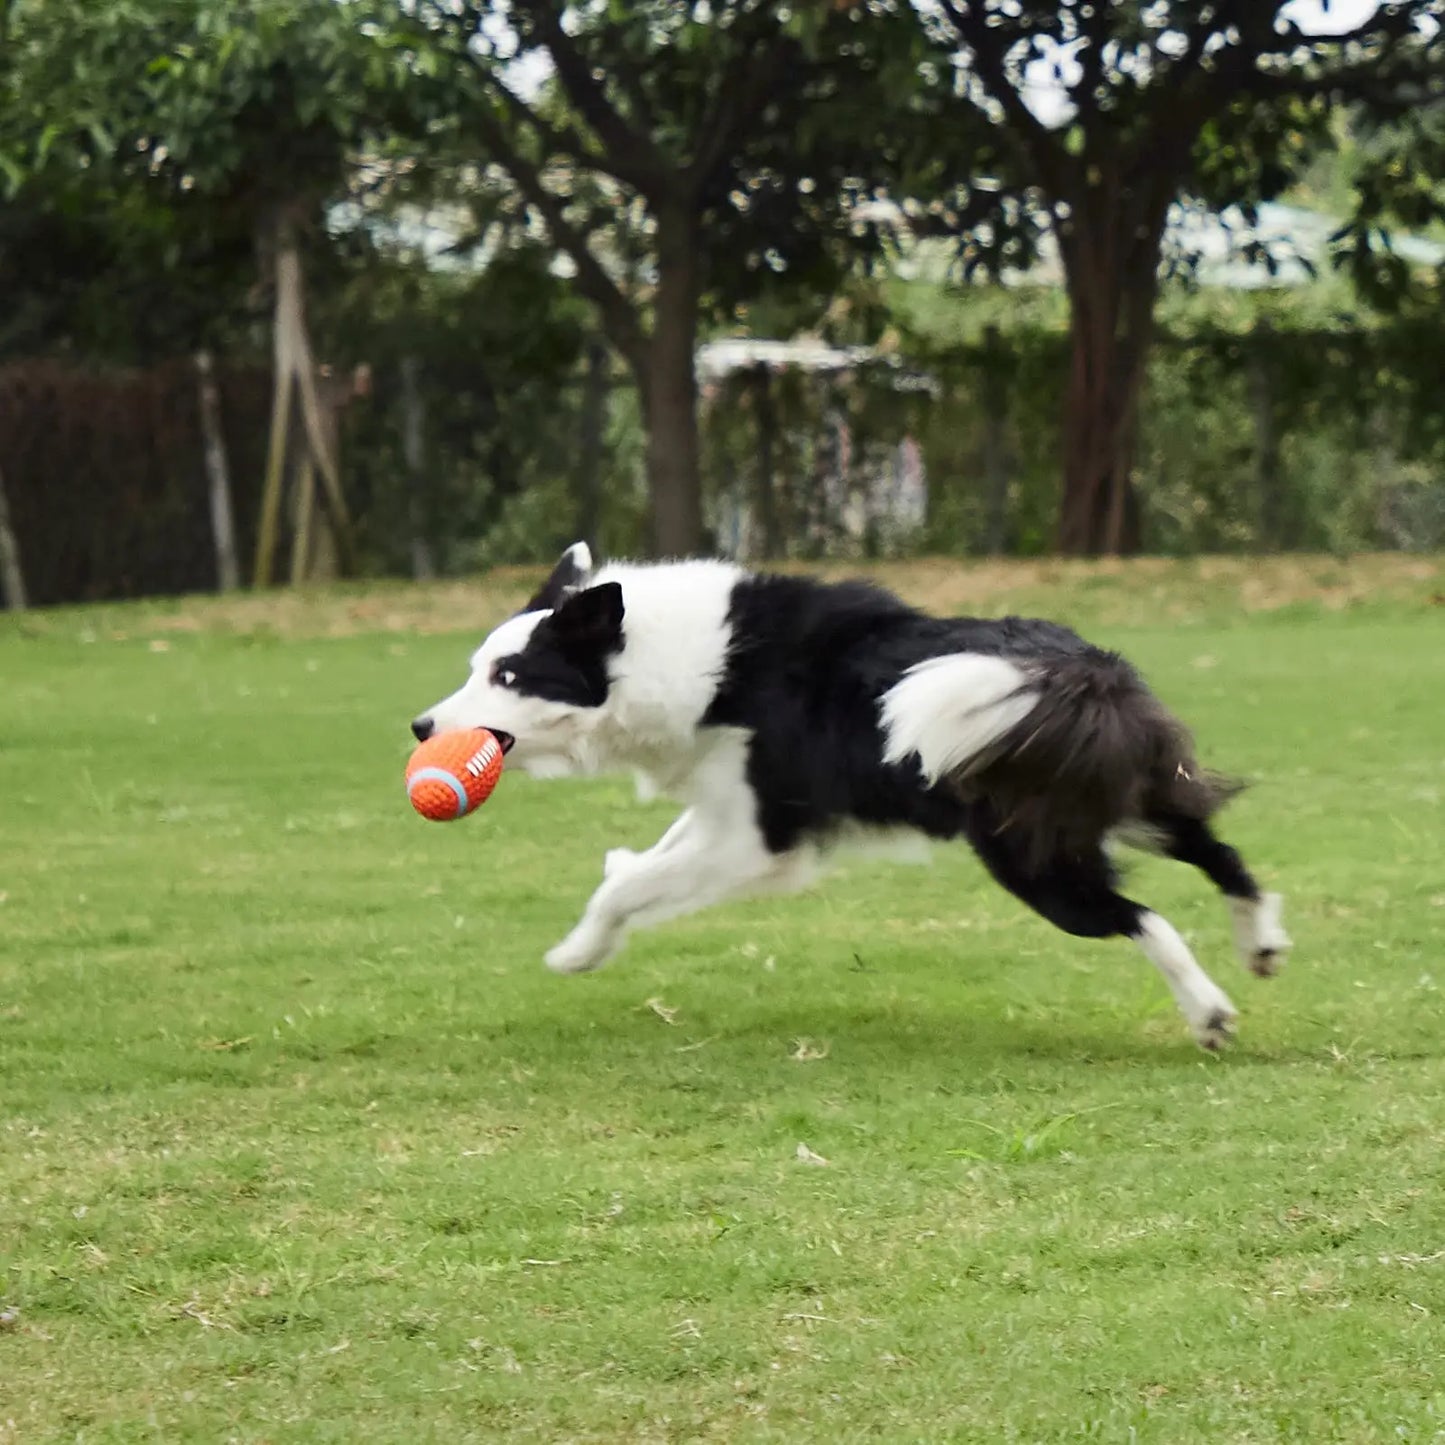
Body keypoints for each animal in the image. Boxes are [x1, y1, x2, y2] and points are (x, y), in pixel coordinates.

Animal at [413, 543, 1294, 1051]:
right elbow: (645, 862)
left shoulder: (758, 834)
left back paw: (1207, 1009)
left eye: (511, 675)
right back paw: (1258, 942)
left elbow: (628, 886)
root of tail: (1072, 668)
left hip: (1029, 855)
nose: (421, 725)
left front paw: (578, 951)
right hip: (1128, 793)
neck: (687, 663)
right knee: (1221, 853)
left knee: (1141, 917)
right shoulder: (725, 805)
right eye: (478, 667)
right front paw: (605, 906)